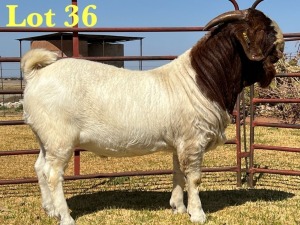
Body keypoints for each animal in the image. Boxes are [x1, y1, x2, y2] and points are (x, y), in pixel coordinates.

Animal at [21, 2, 284, 225]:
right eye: (262, 29)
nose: (281, 47)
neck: (201, 80)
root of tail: (36, 74)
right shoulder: (193, 141)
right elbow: (194, 178)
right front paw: (198, 214)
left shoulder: (181, 142)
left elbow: (178, 173)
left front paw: (178, 207)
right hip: (60, 138)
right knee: (53, 174)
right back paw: (65, 217)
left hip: (45, 138)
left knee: (39, 168)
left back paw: (50, 210)